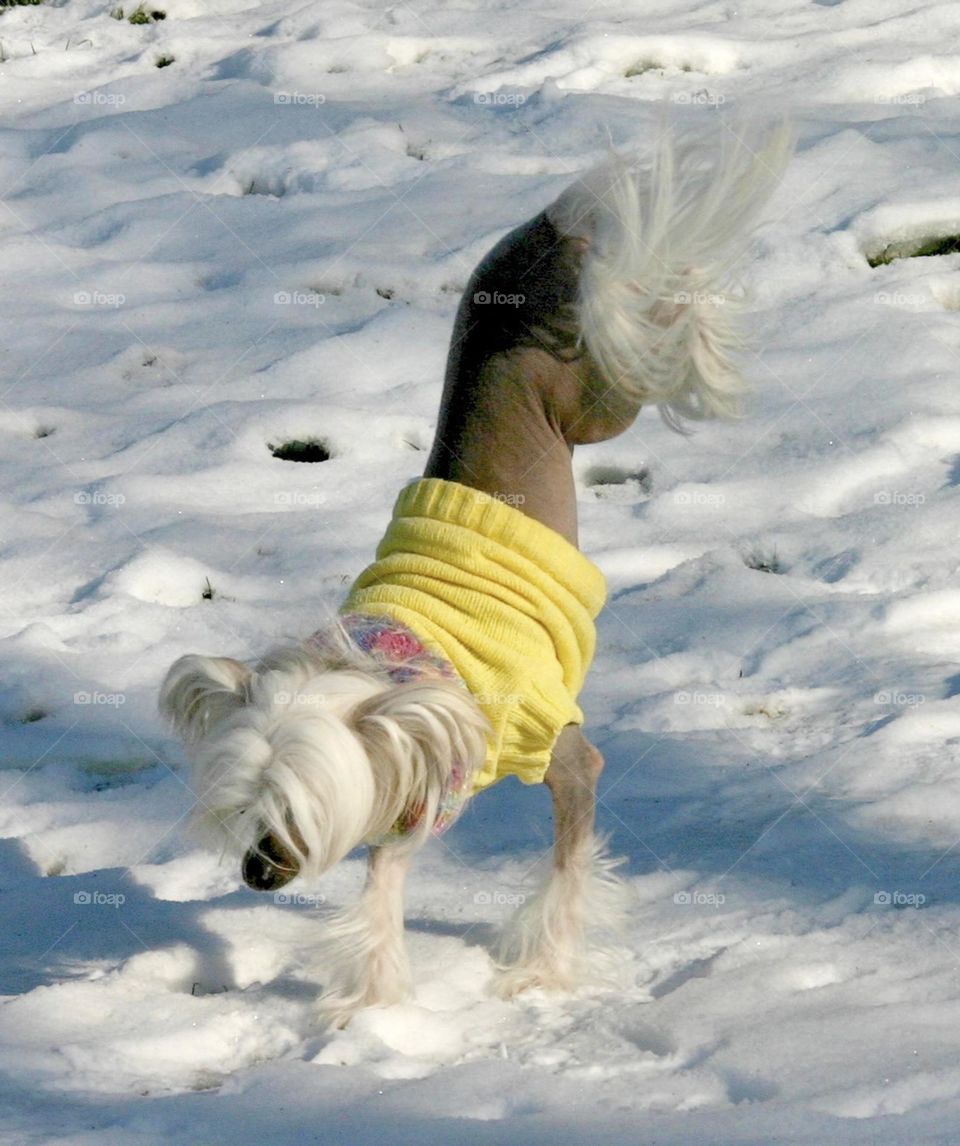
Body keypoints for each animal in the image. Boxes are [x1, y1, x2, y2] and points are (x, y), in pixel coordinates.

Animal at [159, 120, 788, 1026]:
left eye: (297, 811)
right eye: (243, 808)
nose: (255, 873)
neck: (391, 662)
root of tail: (551, 233)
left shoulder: (556, 749)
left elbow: (567, 865)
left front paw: (542, 975)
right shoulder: (409, 788)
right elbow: (383, 891)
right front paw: (376, 1006)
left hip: (600, 391)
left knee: (650, 320)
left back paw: (696, 307)